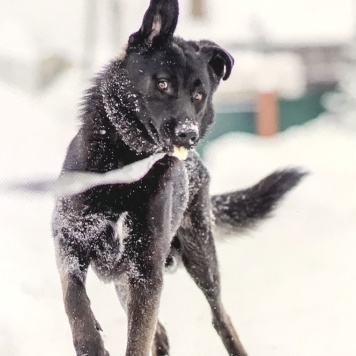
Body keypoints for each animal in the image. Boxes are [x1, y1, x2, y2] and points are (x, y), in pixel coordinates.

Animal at [52, 1, 306, 354]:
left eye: (198, 95)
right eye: (162, 84)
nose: (189, 134)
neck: (127, 164)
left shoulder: (146, 271)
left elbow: (138, 339)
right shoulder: (69, 242)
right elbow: (73, 300)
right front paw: (90, 343)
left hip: (201, 260)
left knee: (219, 318)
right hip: (126, 281)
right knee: (160, 333)